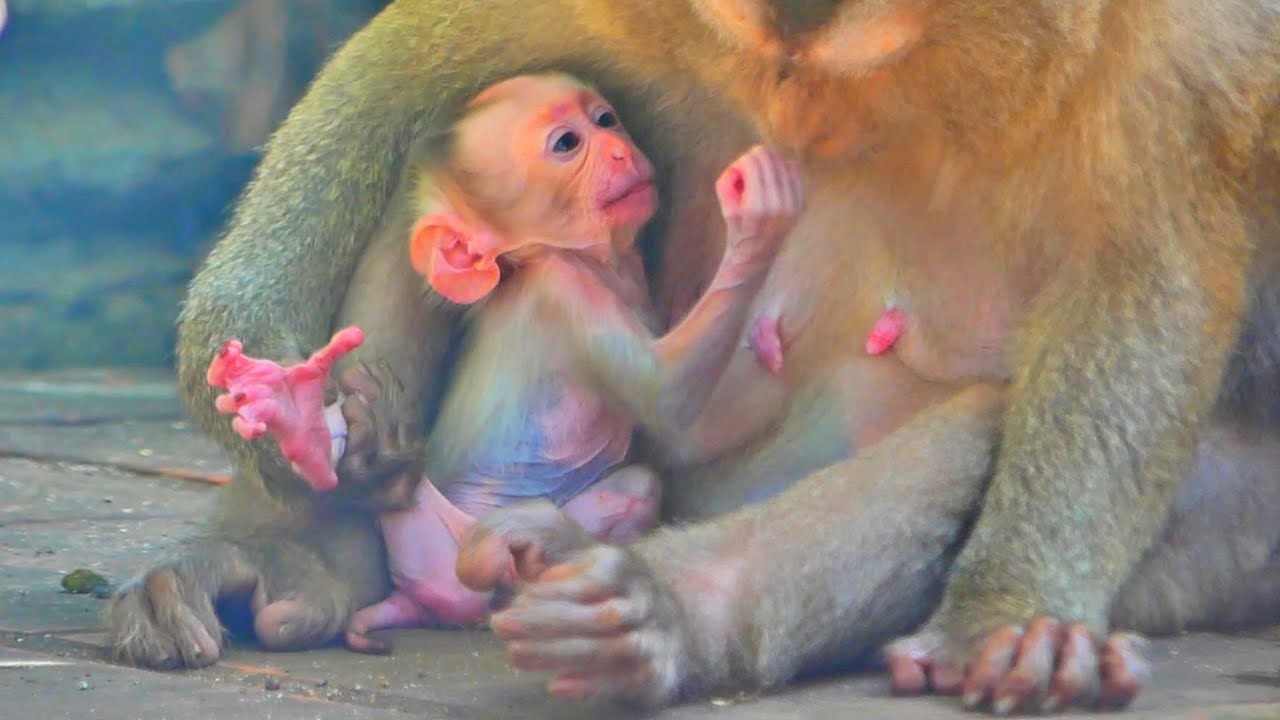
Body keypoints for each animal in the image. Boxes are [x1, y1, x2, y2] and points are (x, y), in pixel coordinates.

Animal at [108, 0, 1280, 716]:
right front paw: (256, 362)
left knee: (981, 422)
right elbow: (441, 45)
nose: (798, 109)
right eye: (568, 141)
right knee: (422, 191)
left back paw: (661, 615)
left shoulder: (1175, 39)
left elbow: (1145, 258)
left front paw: (1016, 608)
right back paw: (308, 531)